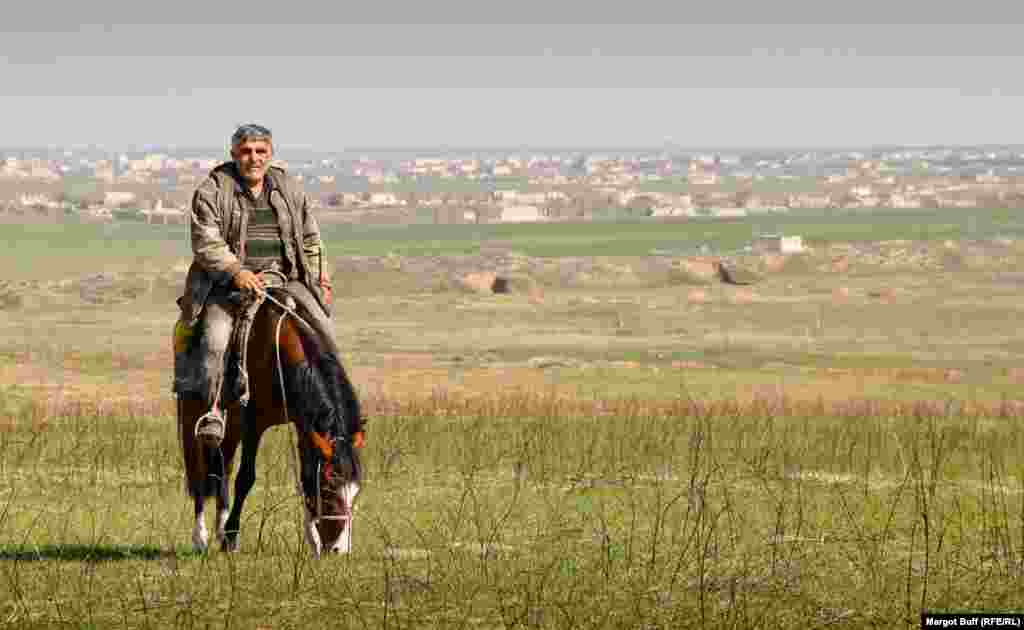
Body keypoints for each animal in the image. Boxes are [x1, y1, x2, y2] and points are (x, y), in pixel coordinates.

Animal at [175, 284, 364, 557]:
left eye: (355, 492)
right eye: (328, 492)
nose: (340, 550)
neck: (278, 352)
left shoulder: (303, 425)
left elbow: (306, 475)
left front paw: (313, 542)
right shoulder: (253, 424)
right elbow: (245, 478)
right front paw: (230, 538)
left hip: (231, 425)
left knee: (222, 467)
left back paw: (219, 527)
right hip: (193, 413)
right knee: (198, 469)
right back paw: (200, 537)